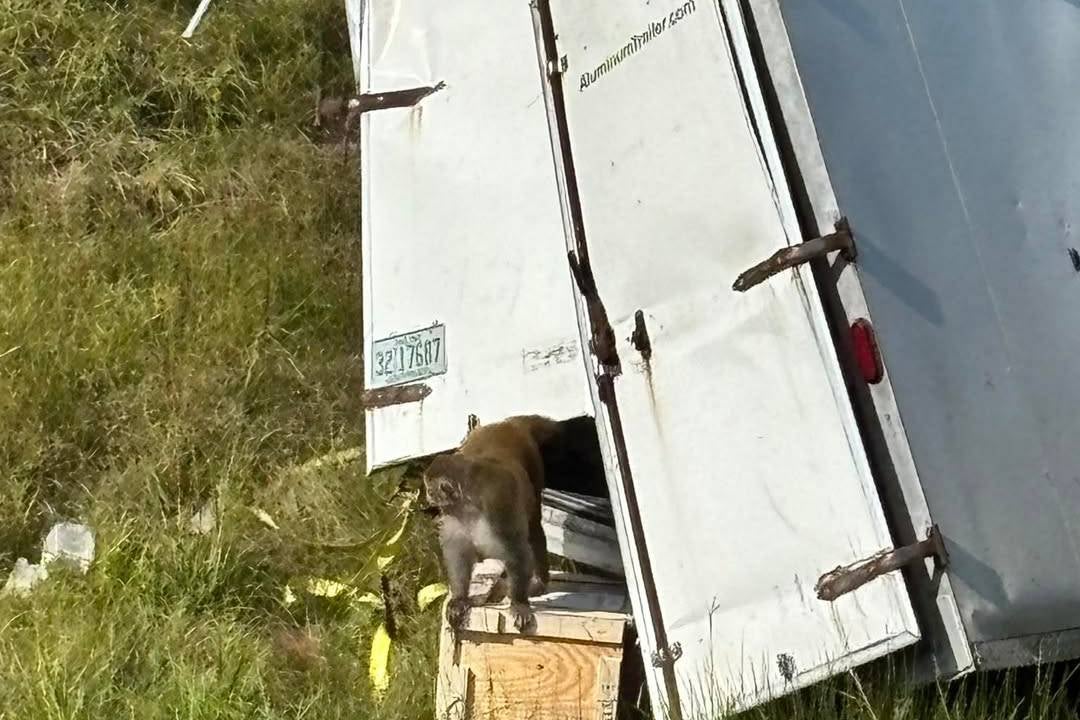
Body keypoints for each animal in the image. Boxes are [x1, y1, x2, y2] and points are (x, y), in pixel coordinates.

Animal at [423, 415, 562, 634]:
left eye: (430, 490)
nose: (428, 497)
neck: (468, 504)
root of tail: (507, 424)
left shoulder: (497, 505)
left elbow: (516, 550)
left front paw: (519, 603)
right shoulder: (454, 516)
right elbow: (458, 553)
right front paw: (459, 598)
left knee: (533, 527)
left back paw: (539, 581)